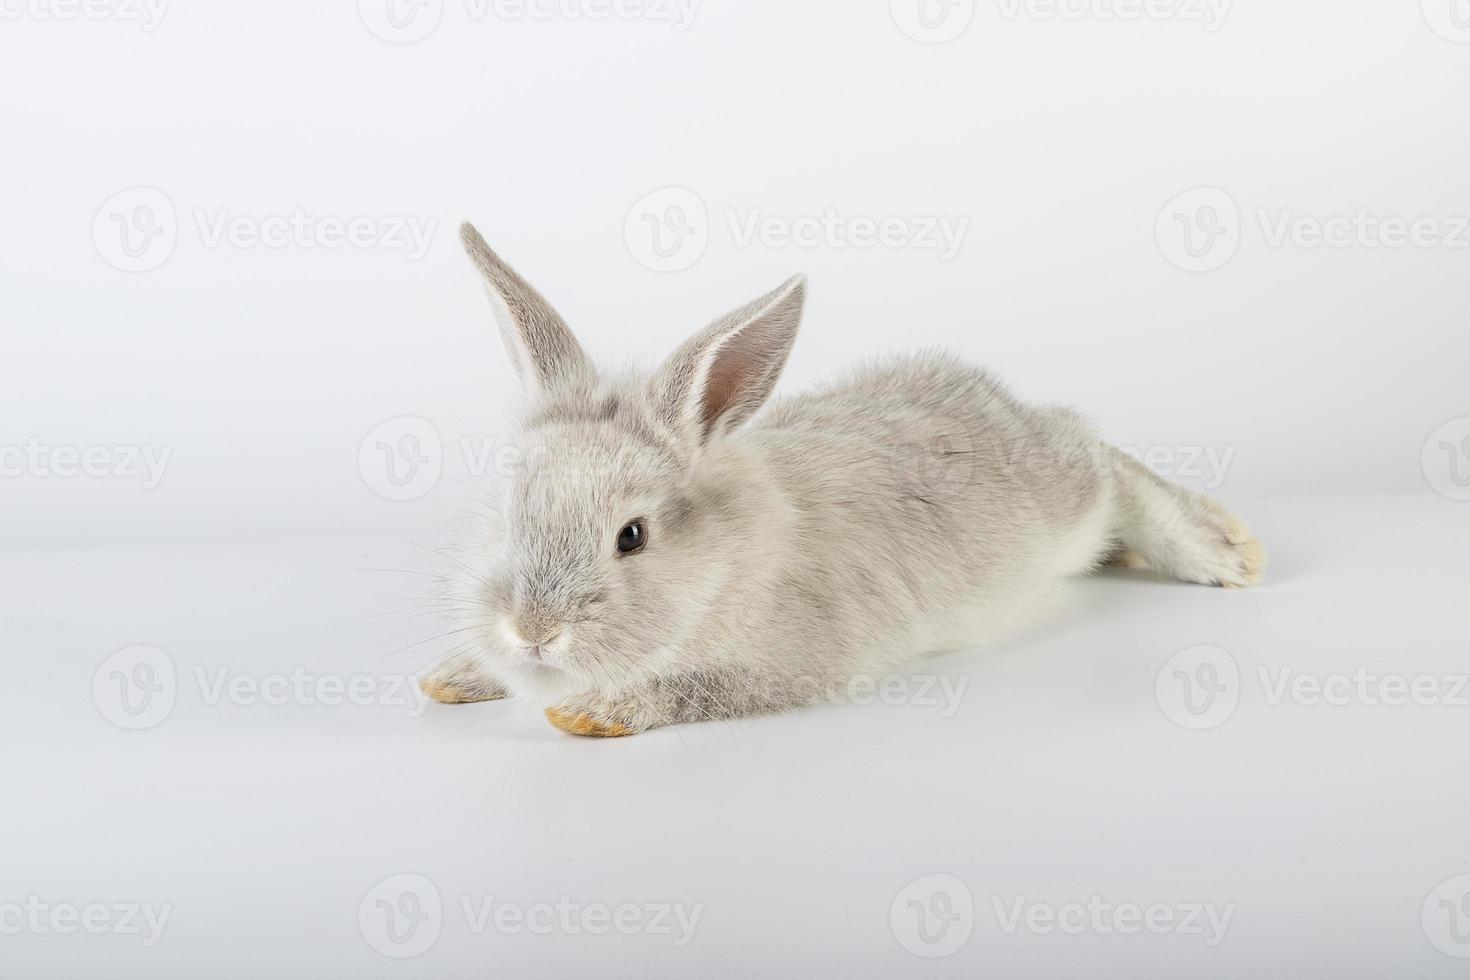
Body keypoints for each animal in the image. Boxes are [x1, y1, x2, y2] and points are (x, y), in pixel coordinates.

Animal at [420, 221, 1270, 740]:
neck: (725, 560)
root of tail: (998, 400)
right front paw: (451, 679)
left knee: (1104, 459)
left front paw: (591, 715)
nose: (534, 632)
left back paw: (1227, 552)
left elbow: (694, 690)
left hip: (1067, 485)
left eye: (632, 536)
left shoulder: (788, 665)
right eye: (510, 510)